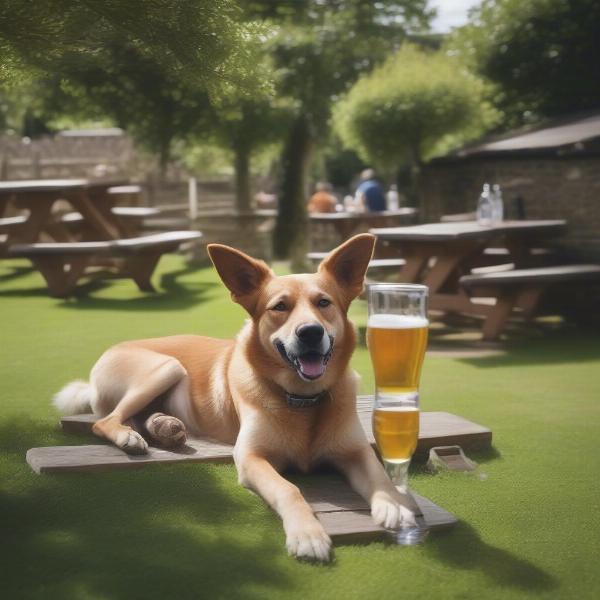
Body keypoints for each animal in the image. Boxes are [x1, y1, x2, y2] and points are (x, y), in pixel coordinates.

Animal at [52, 234, 418, 564]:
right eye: (279, 307)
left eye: (324, 303)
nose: (310, 332)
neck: (302, 401)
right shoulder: (251, 457)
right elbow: (289, 489)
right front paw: (308, 535)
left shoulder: (355, 451)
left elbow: (379, 476)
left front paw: (393, 505)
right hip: (166, 367)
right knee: (106, 420)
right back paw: (130, 436)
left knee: (139, 416)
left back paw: (164, 427)